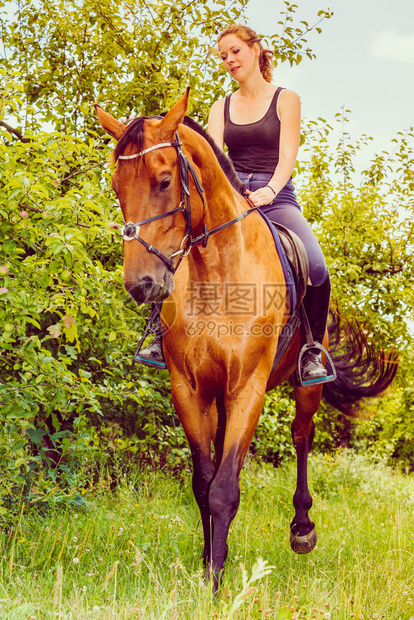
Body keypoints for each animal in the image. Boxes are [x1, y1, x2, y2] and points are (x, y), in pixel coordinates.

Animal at [94, 91, 398, 592]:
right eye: (117, 187)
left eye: (163, 181)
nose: (141, 285)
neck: (216, 272)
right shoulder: (190, 390)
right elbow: (204, 483)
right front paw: (207, 564)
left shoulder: (247, 388)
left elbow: (224, 488)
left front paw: (215, 583)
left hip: (305, 385)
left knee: (301, 436)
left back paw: (302, 529)